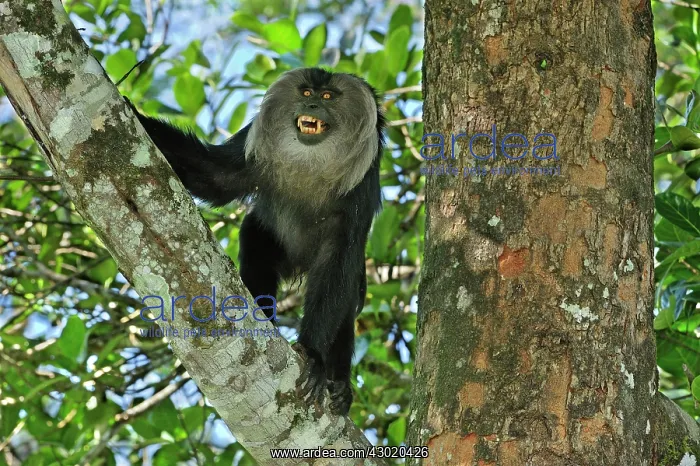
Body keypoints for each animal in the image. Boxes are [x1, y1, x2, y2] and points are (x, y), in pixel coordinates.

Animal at [129, 67, 385, 415]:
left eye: (328, 96)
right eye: (307, 93)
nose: (314, 106)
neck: (311, 160)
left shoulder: (361, 190)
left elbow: (338, 267)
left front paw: (314, 356)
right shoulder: (253, 146)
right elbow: (215, 177)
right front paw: (133, 112)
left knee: (346, 298)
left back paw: (341, 387)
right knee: (255, 241)